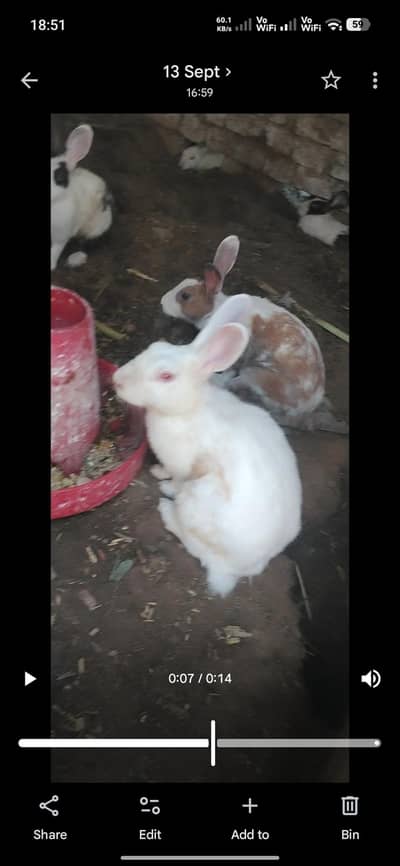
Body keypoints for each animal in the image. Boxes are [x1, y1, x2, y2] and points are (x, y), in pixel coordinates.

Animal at [51, 123, 113, 270]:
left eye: (60, 178)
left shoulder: (61, 237)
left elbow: (55, 251)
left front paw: (50, 266)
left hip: (96, 227)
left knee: (86, 243)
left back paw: (75, 259)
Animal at [113, 294, 302, 598]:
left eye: (166, 376)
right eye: (153, 347)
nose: (117, 380)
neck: (188, 409)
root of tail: (242, 568)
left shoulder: (182, 466)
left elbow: (175, 477)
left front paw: (161, 480)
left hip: (198, 499)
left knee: (193, 543)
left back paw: (166, 509)